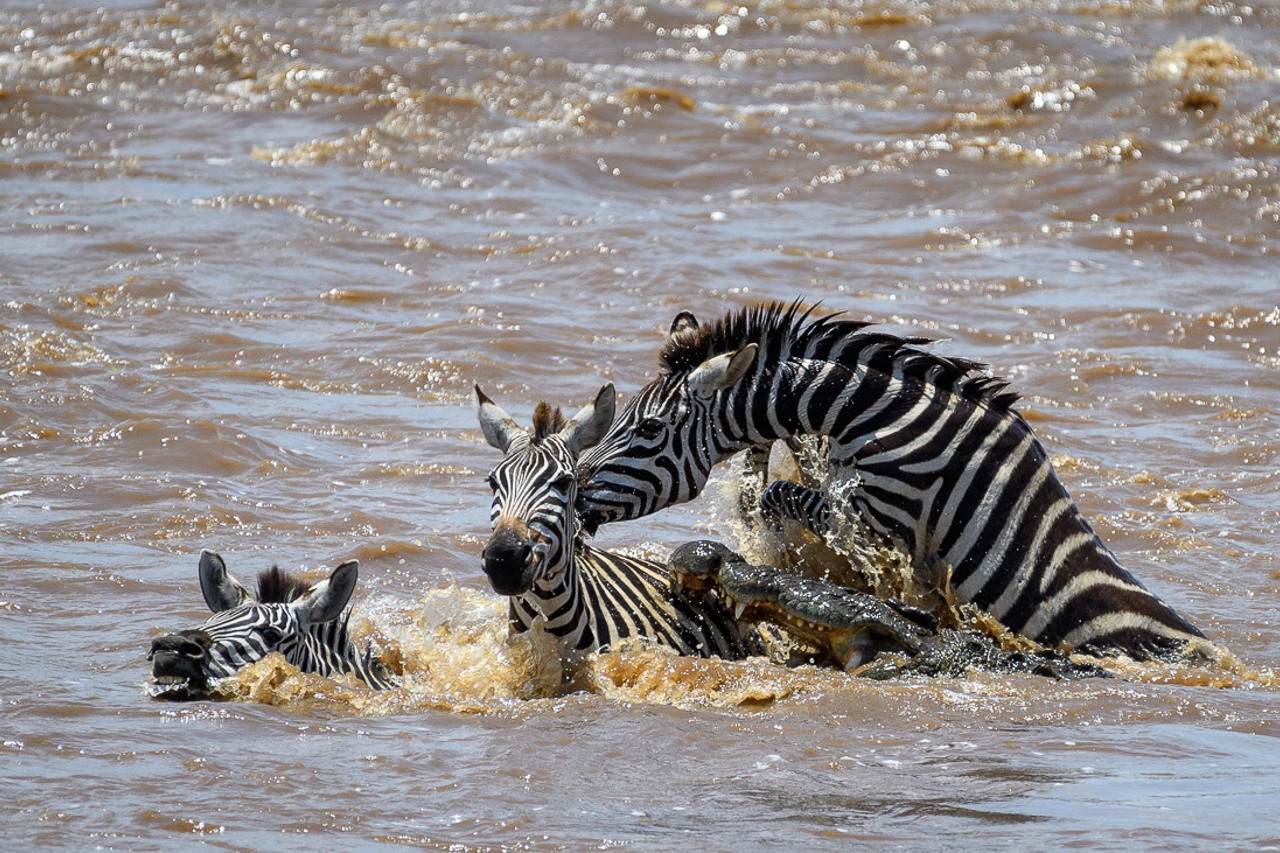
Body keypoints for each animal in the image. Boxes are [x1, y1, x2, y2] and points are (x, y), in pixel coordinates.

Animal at [574, 301, 1207, 660]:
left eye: (649, 429)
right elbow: (768, 491)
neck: (871, 414)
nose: (574, 498)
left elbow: (779, 496)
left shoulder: (881, 515)